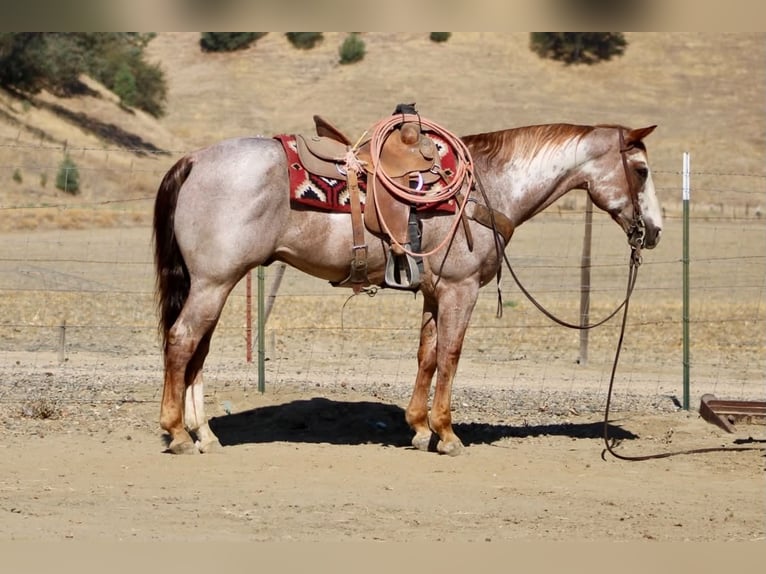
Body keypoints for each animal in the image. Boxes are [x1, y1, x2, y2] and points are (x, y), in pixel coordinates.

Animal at [153, 121, 662, 456]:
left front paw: (418, 428)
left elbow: (427, 355)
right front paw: (448, 434)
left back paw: (204, 434)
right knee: (182, 341)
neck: (488, 186)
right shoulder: (460, 290)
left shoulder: (436, 293)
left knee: (197, 349)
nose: (654, 231)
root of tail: (194, 160)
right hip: (214, 282)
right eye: (641, 171)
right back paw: (177, 433)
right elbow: (451, 355)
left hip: (214, 283)